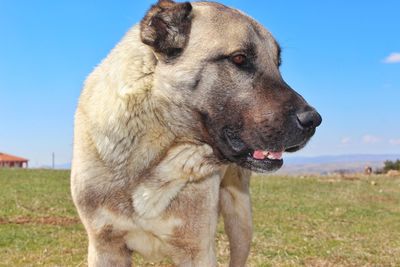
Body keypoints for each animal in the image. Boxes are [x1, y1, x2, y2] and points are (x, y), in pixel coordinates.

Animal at [71, 1, 322, 266]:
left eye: (277, 64)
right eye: (239, 58)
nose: (313, 120)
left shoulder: (198, 251)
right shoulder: (104, 247)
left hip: (241, 218)